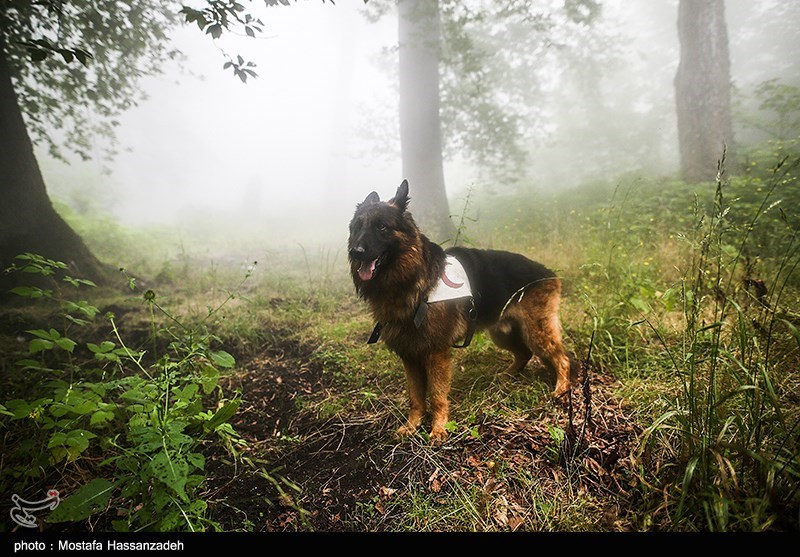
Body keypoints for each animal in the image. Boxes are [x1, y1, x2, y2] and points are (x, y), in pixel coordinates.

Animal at [350, 180, 576, 440]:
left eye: (382, 227)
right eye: (357, 226)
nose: (355, 251)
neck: (414, 278)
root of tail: (547, 271)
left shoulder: (435, 353)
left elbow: (437, 395)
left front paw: (438, 429)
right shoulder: (410, 356)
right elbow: (415, 397)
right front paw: (412, 425)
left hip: (536, 332)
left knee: (562, 359)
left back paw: (561, 389)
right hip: (502, 334)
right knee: (524, 353)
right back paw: (507, 375)